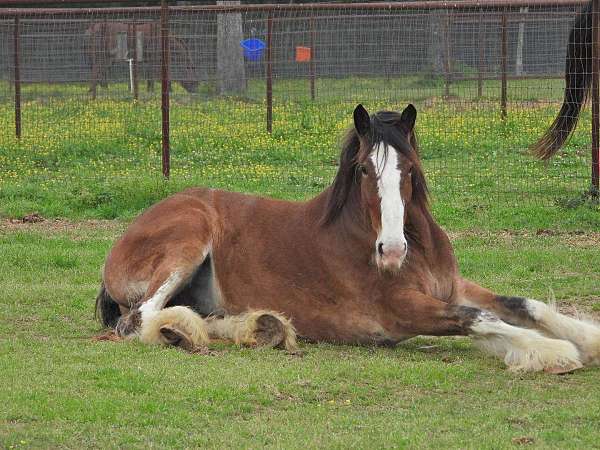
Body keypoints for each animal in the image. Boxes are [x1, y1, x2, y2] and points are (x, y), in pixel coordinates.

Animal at [96, 104, 600, 372]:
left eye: (409, 169)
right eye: (363, 170)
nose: (391, 251)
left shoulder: (453, 287)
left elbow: (522, 305)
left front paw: (586, 338)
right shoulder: (402, 311)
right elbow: (478, 318)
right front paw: (556, 351)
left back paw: (261, 326)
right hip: (188, 239)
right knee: (141, 318)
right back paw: (187, 332)